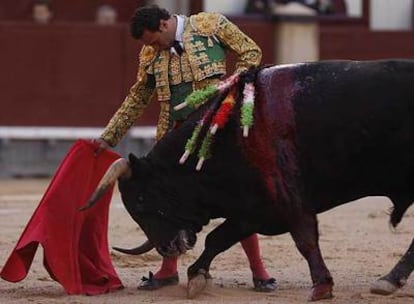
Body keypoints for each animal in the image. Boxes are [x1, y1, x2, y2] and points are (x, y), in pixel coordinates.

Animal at [81, 60, 414, 302]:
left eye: (140, 201)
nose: (166, 248)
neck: (226, 137)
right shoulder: (252, 208)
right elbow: (218, 239)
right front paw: (197, 276)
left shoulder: (288, 201)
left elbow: (305, 240)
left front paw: (321, 286)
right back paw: (389, 280)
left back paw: (387, 280)